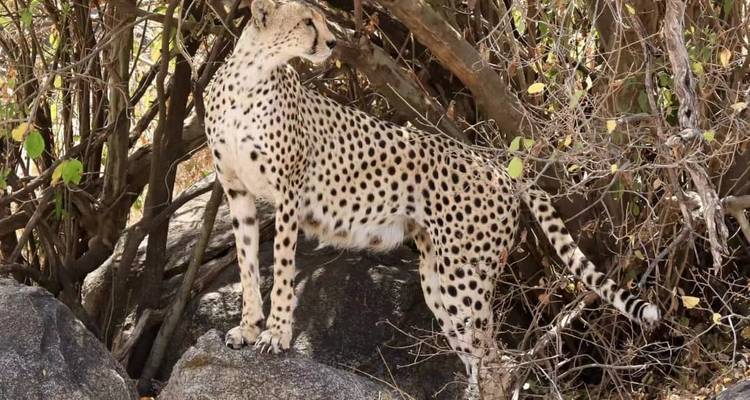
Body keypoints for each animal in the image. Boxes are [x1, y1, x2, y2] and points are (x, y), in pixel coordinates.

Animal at [203, 0, 660, 387]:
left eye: (319, 19)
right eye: (306, 22)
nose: (333, 43)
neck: (249, 78)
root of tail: (498, 166)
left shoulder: (289, 195)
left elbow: (281, 269)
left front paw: (276, 334)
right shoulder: (238, 192)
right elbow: (247, 265)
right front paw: (248, 328)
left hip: (463, 277)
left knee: (494, 363)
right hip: (439, 277)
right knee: (483, 360)